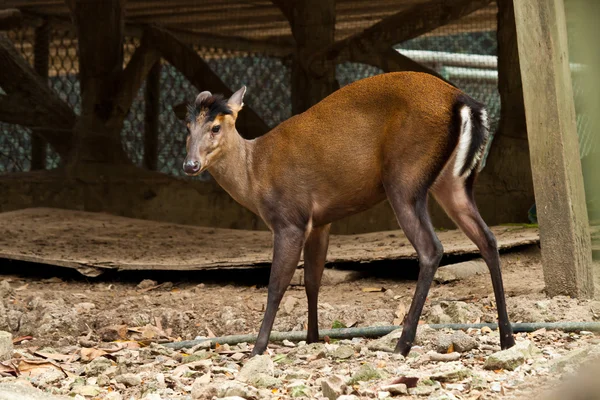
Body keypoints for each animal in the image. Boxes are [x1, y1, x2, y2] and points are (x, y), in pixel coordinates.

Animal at [175, 71, 516, 356]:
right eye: (187, 128)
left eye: (216, 126)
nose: (190, 165)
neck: (254, 174)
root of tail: (463, 101)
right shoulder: (320, 222)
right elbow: (312, 280)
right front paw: (312, 338)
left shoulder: (289, 218)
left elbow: (277, 285)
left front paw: (257, 348)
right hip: (454, 182)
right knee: (487, 239)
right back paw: (507, 338)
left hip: (405, 178)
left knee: (432, 248)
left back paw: (403, 344)